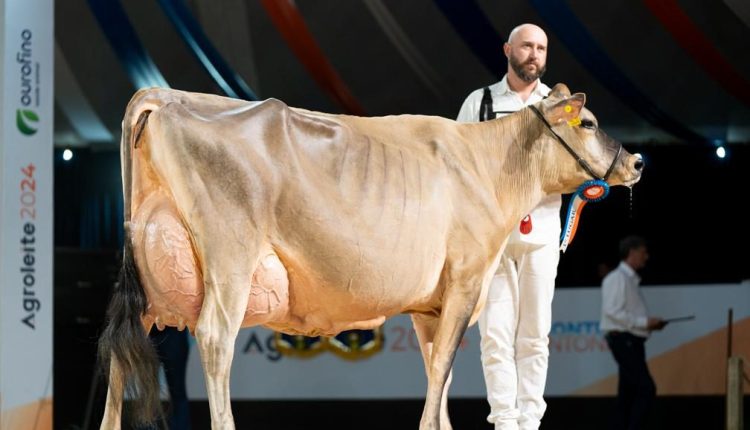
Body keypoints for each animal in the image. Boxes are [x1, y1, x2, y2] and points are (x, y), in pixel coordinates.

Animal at [97, 84, 644, 430]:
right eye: (589, 122)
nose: (637, 161)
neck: (488, 164)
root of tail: (166, 94)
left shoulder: (430, 305)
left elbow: (438, 374)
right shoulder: (468, 278)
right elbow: (442, 371)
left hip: (149, 275)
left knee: (123, 344)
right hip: (231, 258)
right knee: (215, 338)